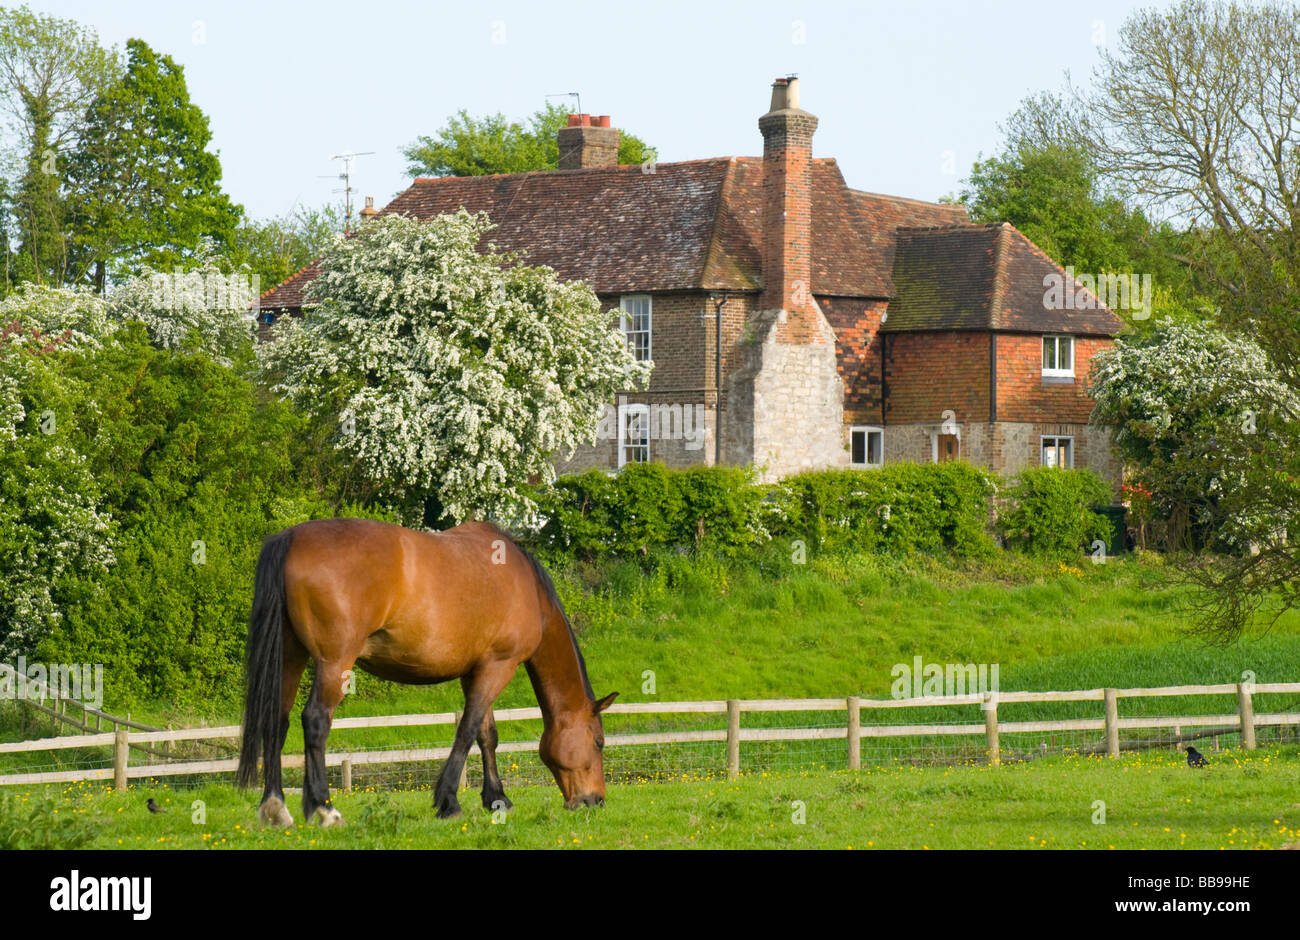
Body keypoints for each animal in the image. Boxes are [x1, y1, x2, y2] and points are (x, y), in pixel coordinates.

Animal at [235, 517, 617, 827]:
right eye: (599, 742)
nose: (595, 801)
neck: (527, 589)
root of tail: (291, 537)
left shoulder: (477, 670)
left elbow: (487, 735)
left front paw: (496, 799)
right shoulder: (499, 666)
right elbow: (466, 731)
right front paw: (449, 802)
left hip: (291, 656)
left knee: (277, 721)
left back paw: (275, 808)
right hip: (334, 663)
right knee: (315, 721)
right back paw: (324, 809)